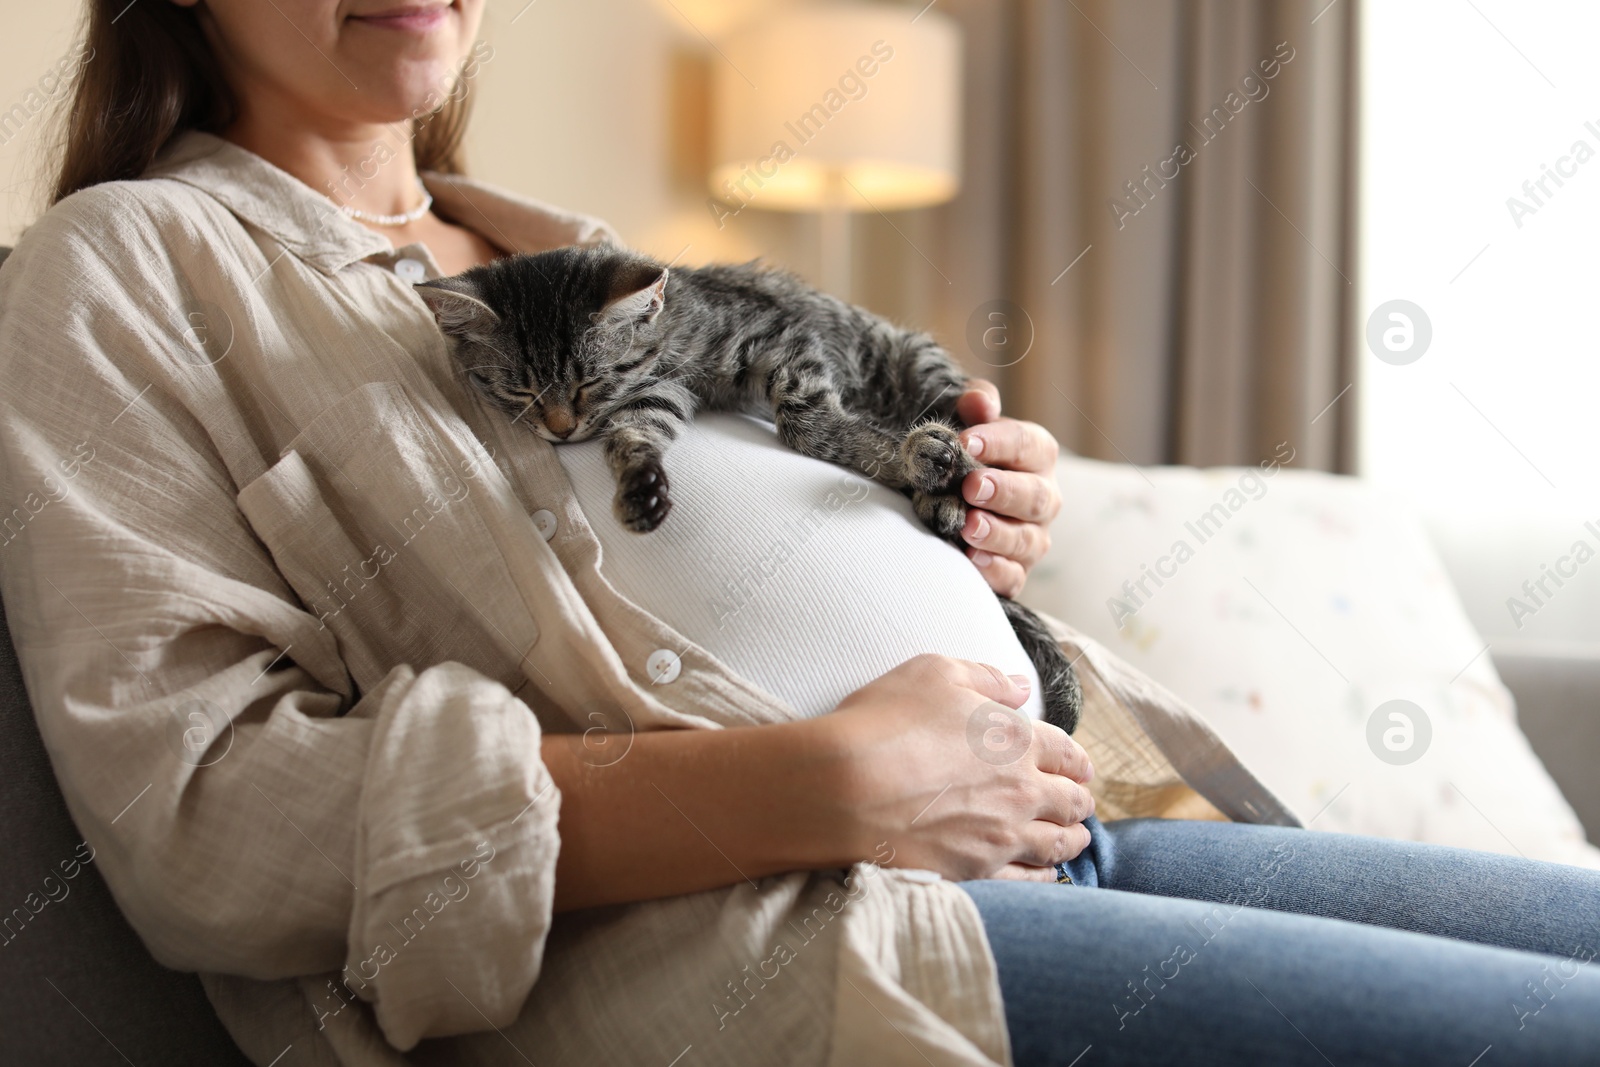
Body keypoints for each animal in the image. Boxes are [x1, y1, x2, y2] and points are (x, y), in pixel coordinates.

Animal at [419, 247, 1081, 739]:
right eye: (517, 392)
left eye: (588, 382)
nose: (560, 429)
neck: (671, 335)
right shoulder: (657, 397)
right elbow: (635, 434)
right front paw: (639, 483)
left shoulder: (782, 341)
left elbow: (803, 420)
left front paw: (894, 451)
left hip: (921, 362)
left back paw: (940, 475)